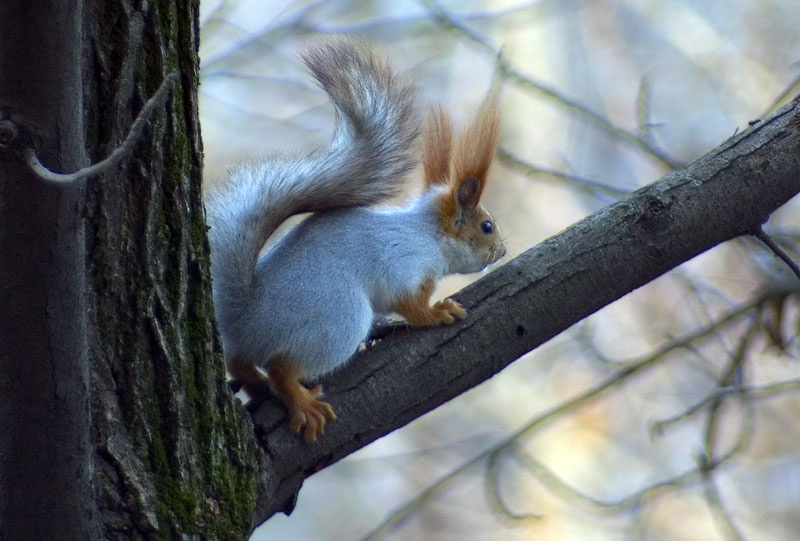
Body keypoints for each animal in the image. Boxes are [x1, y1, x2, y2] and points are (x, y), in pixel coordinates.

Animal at [204, 38, 505, 443]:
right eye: (486, 226)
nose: (502, 250)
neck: (426, 234)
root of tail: (243, 317)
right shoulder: (403, 264)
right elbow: (409, 304)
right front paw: (435, 313)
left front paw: (391, 326)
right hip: (339, 318)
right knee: (282, 364)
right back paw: (300, 401)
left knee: (238, 362)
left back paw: (258, 385)